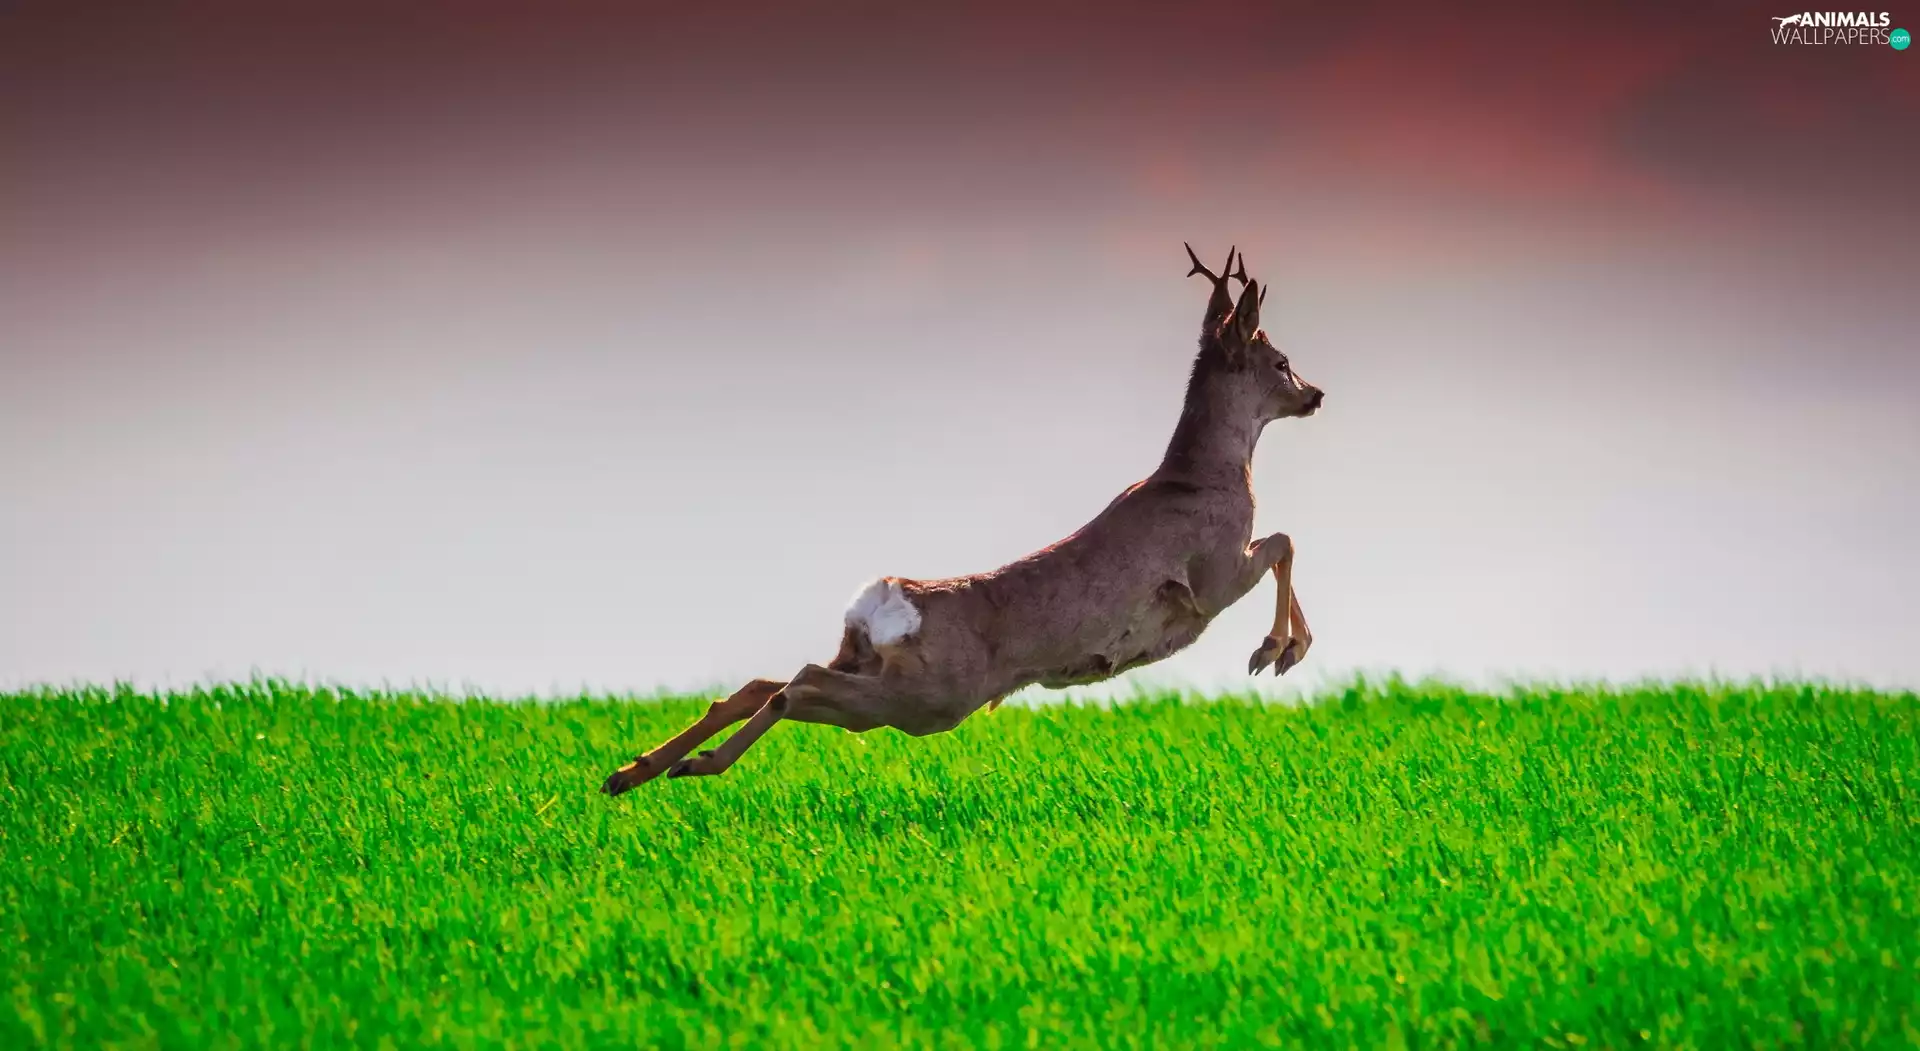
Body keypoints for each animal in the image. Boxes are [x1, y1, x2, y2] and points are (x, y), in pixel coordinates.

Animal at [601, 243, 1324, 796]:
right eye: (1281, 362)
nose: (1316, 393)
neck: (1206, 474)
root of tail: (885, 599)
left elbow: (1285, 541)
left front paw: (1285, 649)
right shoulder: (1213, 575)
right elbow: (1283, 540)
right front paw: (1277, 651)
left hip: (876, 667)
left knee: (761, 682)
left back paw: (630, 772)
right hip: (927, 698)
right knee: (796, 687)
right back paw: (696, 765)